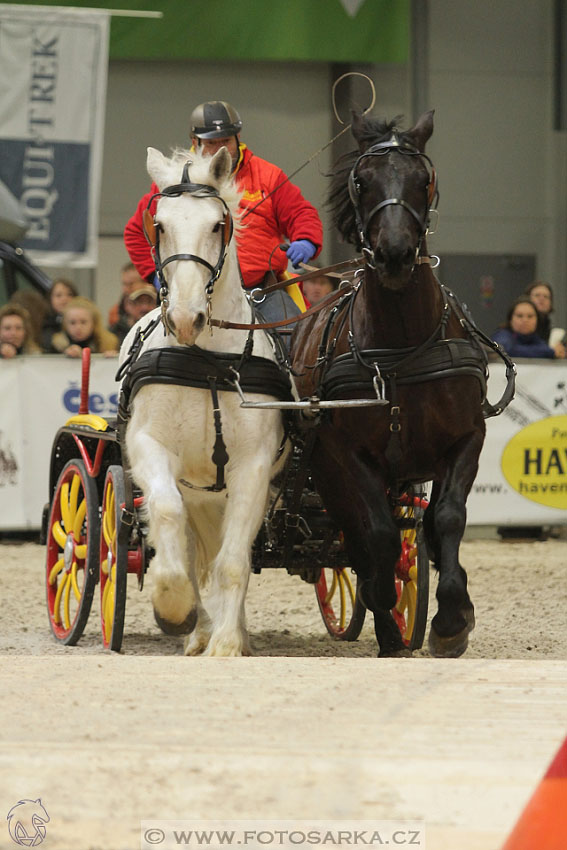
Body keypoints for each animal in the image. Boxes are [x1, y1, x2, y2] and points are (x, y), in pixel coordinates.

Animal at [118, 146, 288, 656]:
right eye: (160, 225)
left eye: (217, 225)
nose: (184, 318)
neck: (205, 359)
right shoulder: (149, 447)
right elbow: (167, 518)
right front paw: (174, 607)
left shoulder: (253, 467)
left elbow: (234, 560)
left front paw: (229, 642)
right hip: (196, 490)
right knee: (192, 545)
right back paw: (197, 628)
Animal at [292, 111, 488, 656]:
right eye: (362, 181)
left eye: (425, 179)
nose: (395, 255)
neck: (401, 348)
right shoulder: (348, 455)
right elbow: (376, 535)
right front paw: (386, 612)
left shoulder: (467, 439)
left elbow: (446, 518)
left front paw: (452, 619)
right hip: (327, 471)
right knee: (358, 538)